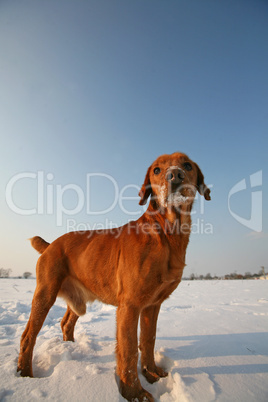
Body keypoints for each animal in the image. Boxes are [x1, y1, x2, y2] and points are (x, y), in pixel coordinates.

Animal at [16, 152, 210, 400]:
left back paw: (70, 348)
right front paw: (134, 392)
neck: (167, 233)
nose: (175, 175)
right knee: (27, 336)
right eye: (156, 170)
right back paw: (25, 373)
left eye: (187, 165)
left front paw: (152, 373)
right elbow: (129, 351)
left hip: (78, 299)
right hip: (44, 295)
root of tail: (51, 245)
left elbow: (148, 340)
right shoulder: (130, 305)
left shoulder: (152, 305)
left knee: (66, 323)